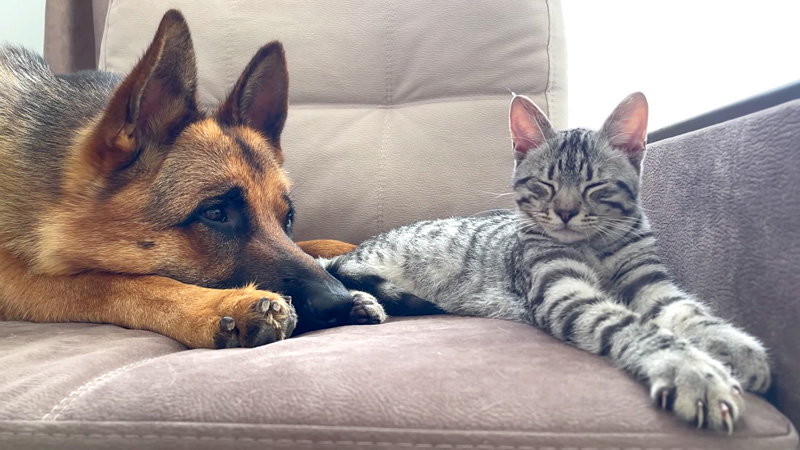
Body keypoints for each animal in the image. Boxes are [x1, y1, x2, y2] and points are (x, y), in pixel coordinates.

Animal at [0, 9, 376, 348]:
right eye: (215, 213)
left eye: (288, 218)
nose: (339, 301)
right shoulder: (17, 278)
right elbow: (107, 281)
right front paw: (220, 305)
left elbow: (308, 243)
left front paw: (350, 250)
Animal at [324, 93, 768, 434]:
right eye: (545, 184)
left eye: (595, 185)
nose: (566, 212)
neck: (594, 246)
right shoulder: (562, 290)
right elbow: (630, 324)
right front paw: (691, 370)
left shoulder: (649, 283)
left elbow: (687, 311)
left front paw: (733, 345)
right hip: (372, 259)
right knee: (333, 268)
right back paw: (362, 302)